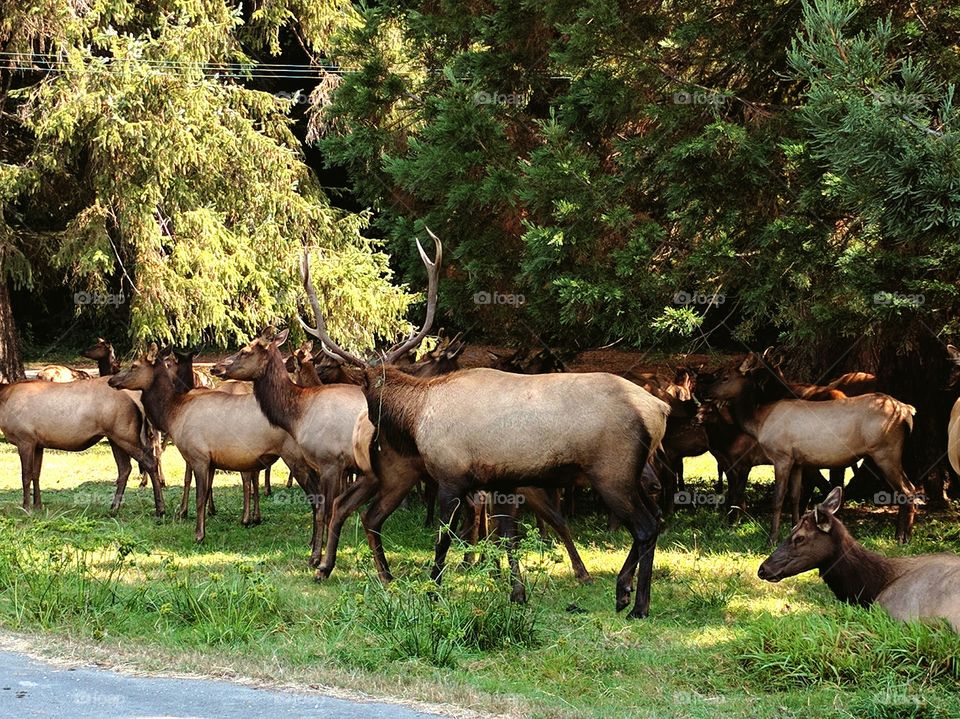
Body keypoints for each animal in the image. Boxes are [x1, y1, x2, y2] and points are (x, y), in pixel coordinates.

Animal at [0, 380, 164, 516]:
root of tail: (137, 399)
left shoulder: (25, 439)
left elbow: (25, 476)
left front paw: (26, 509)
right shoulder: (38, 444)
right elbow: (36, 474)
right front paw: (38, 506)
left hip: (125, 435)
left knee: (150, 461)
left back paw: (160, 509)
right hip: (115, 437)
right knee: (125, 468)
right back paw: (113, 508)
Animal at [109, 346, 318, 544]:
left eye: (134, 365)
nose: (111, 380)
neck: (173, 414)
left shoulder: (198, 457)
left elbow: (199, 496)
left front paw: (199, 534)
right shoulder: (211, 461)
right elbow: (209, 490)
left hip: (296, 457)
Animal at [300, 232, 668, 620]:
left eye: (365, 389)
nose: (366, 433)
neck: (419, 414)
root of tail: (659, 409)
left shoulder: (450, 475)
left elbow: (445, 537)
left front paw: (433, 591)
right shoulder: (500, 480)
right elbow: (507, 537)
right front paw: (517, 594)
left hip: (612, 471)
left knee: (645, 526)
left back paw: (636, 604)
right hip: (635, 473)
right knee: (657, 517)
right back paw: (624, 592)